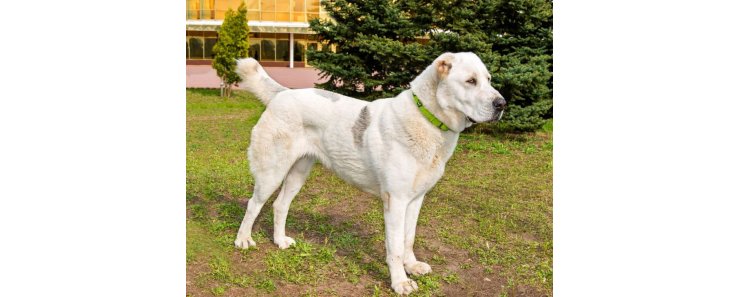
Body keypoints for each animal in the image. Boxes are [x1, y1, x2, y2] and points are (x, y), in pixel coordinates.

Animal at [234, 52, 506, 292]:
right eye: (470, 81)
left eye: (489, 79)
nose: (502, 104)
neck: (428, 120)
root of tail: (284, 93)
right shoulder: (395, 201)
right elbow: (395, 247)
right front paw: (400, 282)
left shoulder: (416, 199)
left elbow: (408, 238)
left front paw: (412, 266)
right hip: (272, 172)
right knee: (253, 204)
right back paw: (243, 240)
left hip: (298, 173)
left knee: (280, 205)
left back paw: (280, 241)